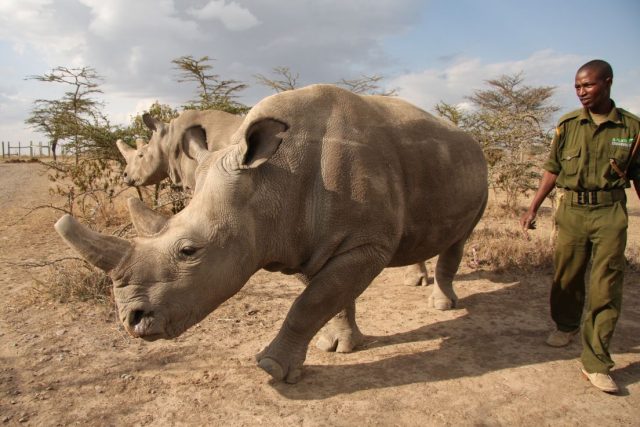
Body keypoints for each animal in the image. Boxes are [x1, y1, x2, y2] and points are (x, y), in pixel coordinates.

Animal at [57, 84, 488, 384]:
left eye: (189, 251)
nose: (130, 321)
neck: (269, 181)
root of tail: (468, 136)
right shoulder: (303, 240)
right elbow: (329, 298)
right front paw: (340, 346)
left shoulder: (365, 242)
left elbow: (310, 304)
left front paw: (271, 368)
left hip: (475, 164)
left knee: (460, 239)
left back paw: (442, 305)